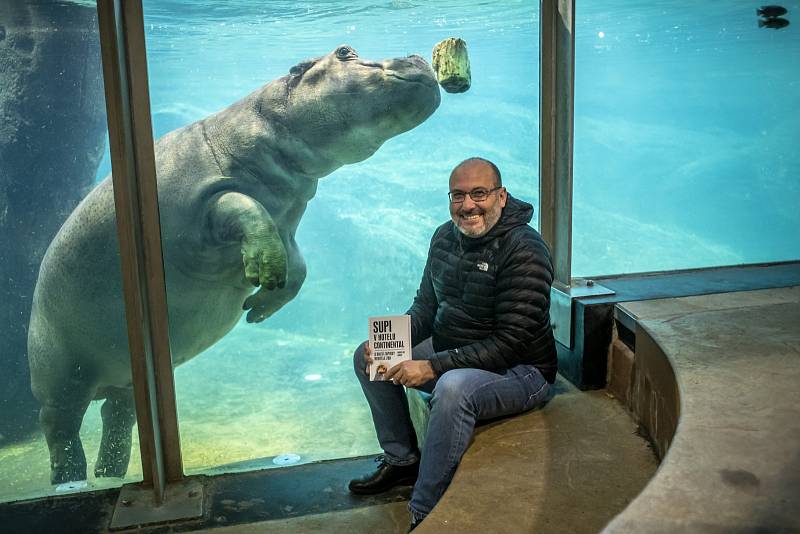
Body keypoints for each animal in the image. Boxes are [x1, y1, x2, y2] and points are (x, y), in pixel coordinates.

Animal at [28, 44, 440, 484]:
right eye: (345, 52)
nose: (416, 55)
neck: (268, 122)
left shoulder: (288, 220)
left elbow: (299, 264)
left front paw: (258, 308)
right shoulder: (212, 200)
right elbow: (246, 208)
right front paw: (265, 279)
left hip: (122, 373)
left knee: (117, 413)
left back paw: (109, 473)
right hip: (61, 371)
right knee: (60, 424)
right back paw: (69, 479)